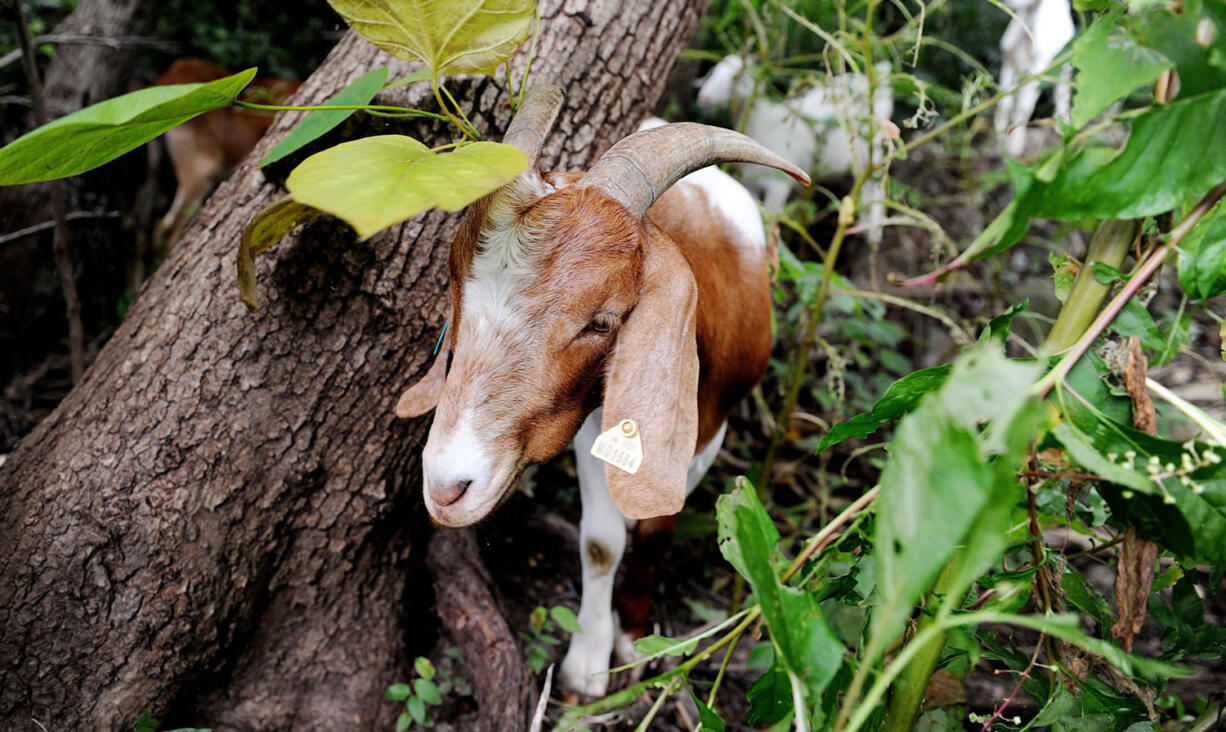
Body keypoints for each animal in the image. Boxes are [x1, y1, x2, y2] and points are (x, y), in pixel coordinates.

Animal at [397, 88, 809, 691]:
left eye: (601, 322)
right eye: (457, 297)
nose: (447, 488)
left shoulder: (709, 434)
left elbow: (657, 530)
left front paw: (636, 641)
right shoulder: (592, 426)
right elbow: (600, 542)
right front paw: (588, 664)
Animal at [701, 52, 892, 245]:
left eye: (736, 76)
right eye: (712, 71)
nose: (704, 98)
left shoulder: (779, 184)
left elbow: (770, 222)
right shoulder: (750, 184)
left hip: (871, 145)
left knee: (876, 184)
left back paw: (874, 234)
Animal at [995, 0, 1073, 156]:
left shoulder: (1037, 74)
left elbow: (1024, 108)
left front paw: (1014, 148)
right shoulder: (1009, 63)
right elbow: (1004, 101)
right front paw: (999, 135)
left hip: (1063, 68)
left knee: (1063, 92)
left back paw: (1063, 124)